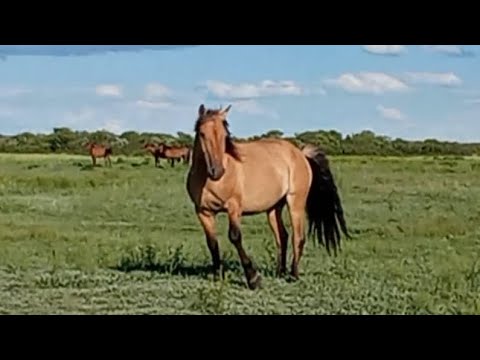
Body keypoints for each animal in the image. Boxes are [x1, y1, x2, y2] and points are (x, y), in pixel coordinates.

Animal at [185, 104, 348, 290]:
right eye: (202, 133)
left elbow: (235, 237)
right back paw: (280, 272)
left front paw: (253, 278)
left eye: (225, 135)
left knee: (298, 237)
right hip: (273, 209)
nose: (217, 171)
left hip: (295, 203)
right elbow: (212, 242)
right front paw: (217, 275)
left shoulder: (234, 208)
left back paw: (293, 275)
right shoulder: (203, 212)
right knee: (282, 236)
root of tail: (300, 153)